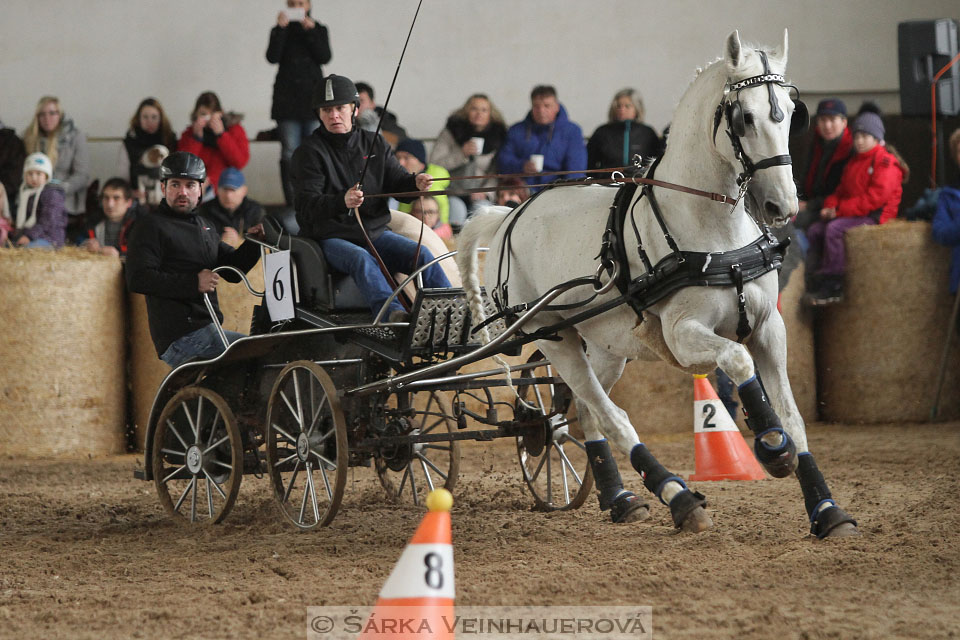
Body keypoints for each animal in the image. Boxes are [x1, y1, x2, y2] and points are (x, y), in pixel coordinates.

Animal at [462, 31, 860, 540]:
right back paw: (679, 498)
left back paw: (621, 498)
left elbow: (793, 415)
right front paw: (772, 446)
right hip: (554, 338)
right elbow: (737, 359)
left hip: (608, 346)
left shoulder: (769, 327)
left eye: (791, 113)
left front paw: (826, 509)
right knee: (611, 416)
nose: (782, 205)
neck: (715, 234)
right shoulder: (682, 333)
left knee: (584, 413)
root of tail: (510, 214)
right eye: (745, 117)